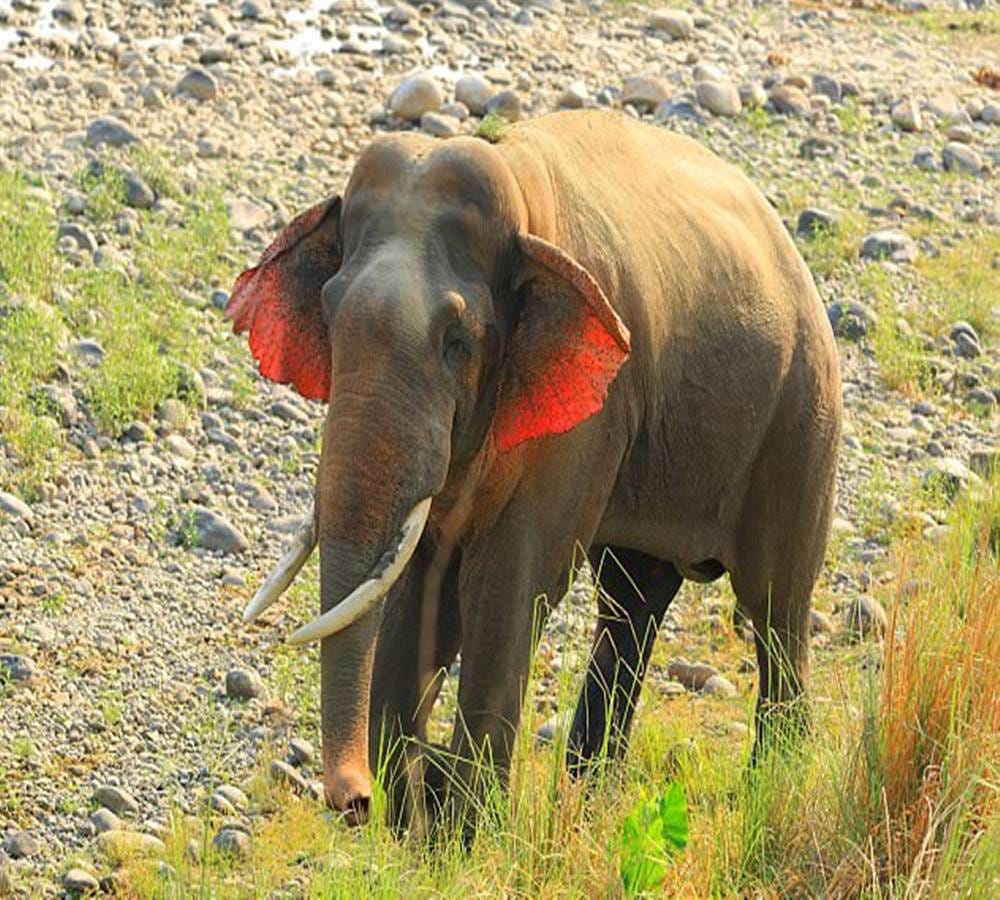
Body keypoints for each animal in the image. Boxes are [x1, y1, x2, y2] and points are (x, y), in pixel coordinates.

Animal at [225, 109, 842, 830]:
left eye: (456, 342)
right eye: (328, 312)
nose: (354, 801)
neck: (522, 199)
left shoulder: (586, 418)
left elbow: (509, 585)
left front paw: (460, 831)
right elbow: (417, 583)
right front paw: (419, 819)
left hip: (800, 418)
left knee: (776, 607)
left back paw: (773, 784)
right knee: (632, 602)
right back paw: (589, 796)